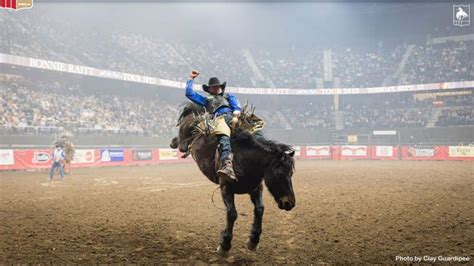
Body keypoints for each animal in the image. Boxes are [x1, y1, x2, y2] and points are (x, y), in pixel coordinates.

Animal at [170, 103, 296, 256]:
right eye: (278, 173)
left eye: (291, 173)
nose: (290, 203)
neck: (244, 158)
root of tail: (199, 113)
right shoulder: (226, 188)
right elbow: (232, 214)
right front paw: (224, 245)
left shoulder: (255, 188)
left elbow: (259, 209)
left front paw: (253, 241)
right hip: (183, 140)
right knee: (180, 142)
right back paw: (173, 142)